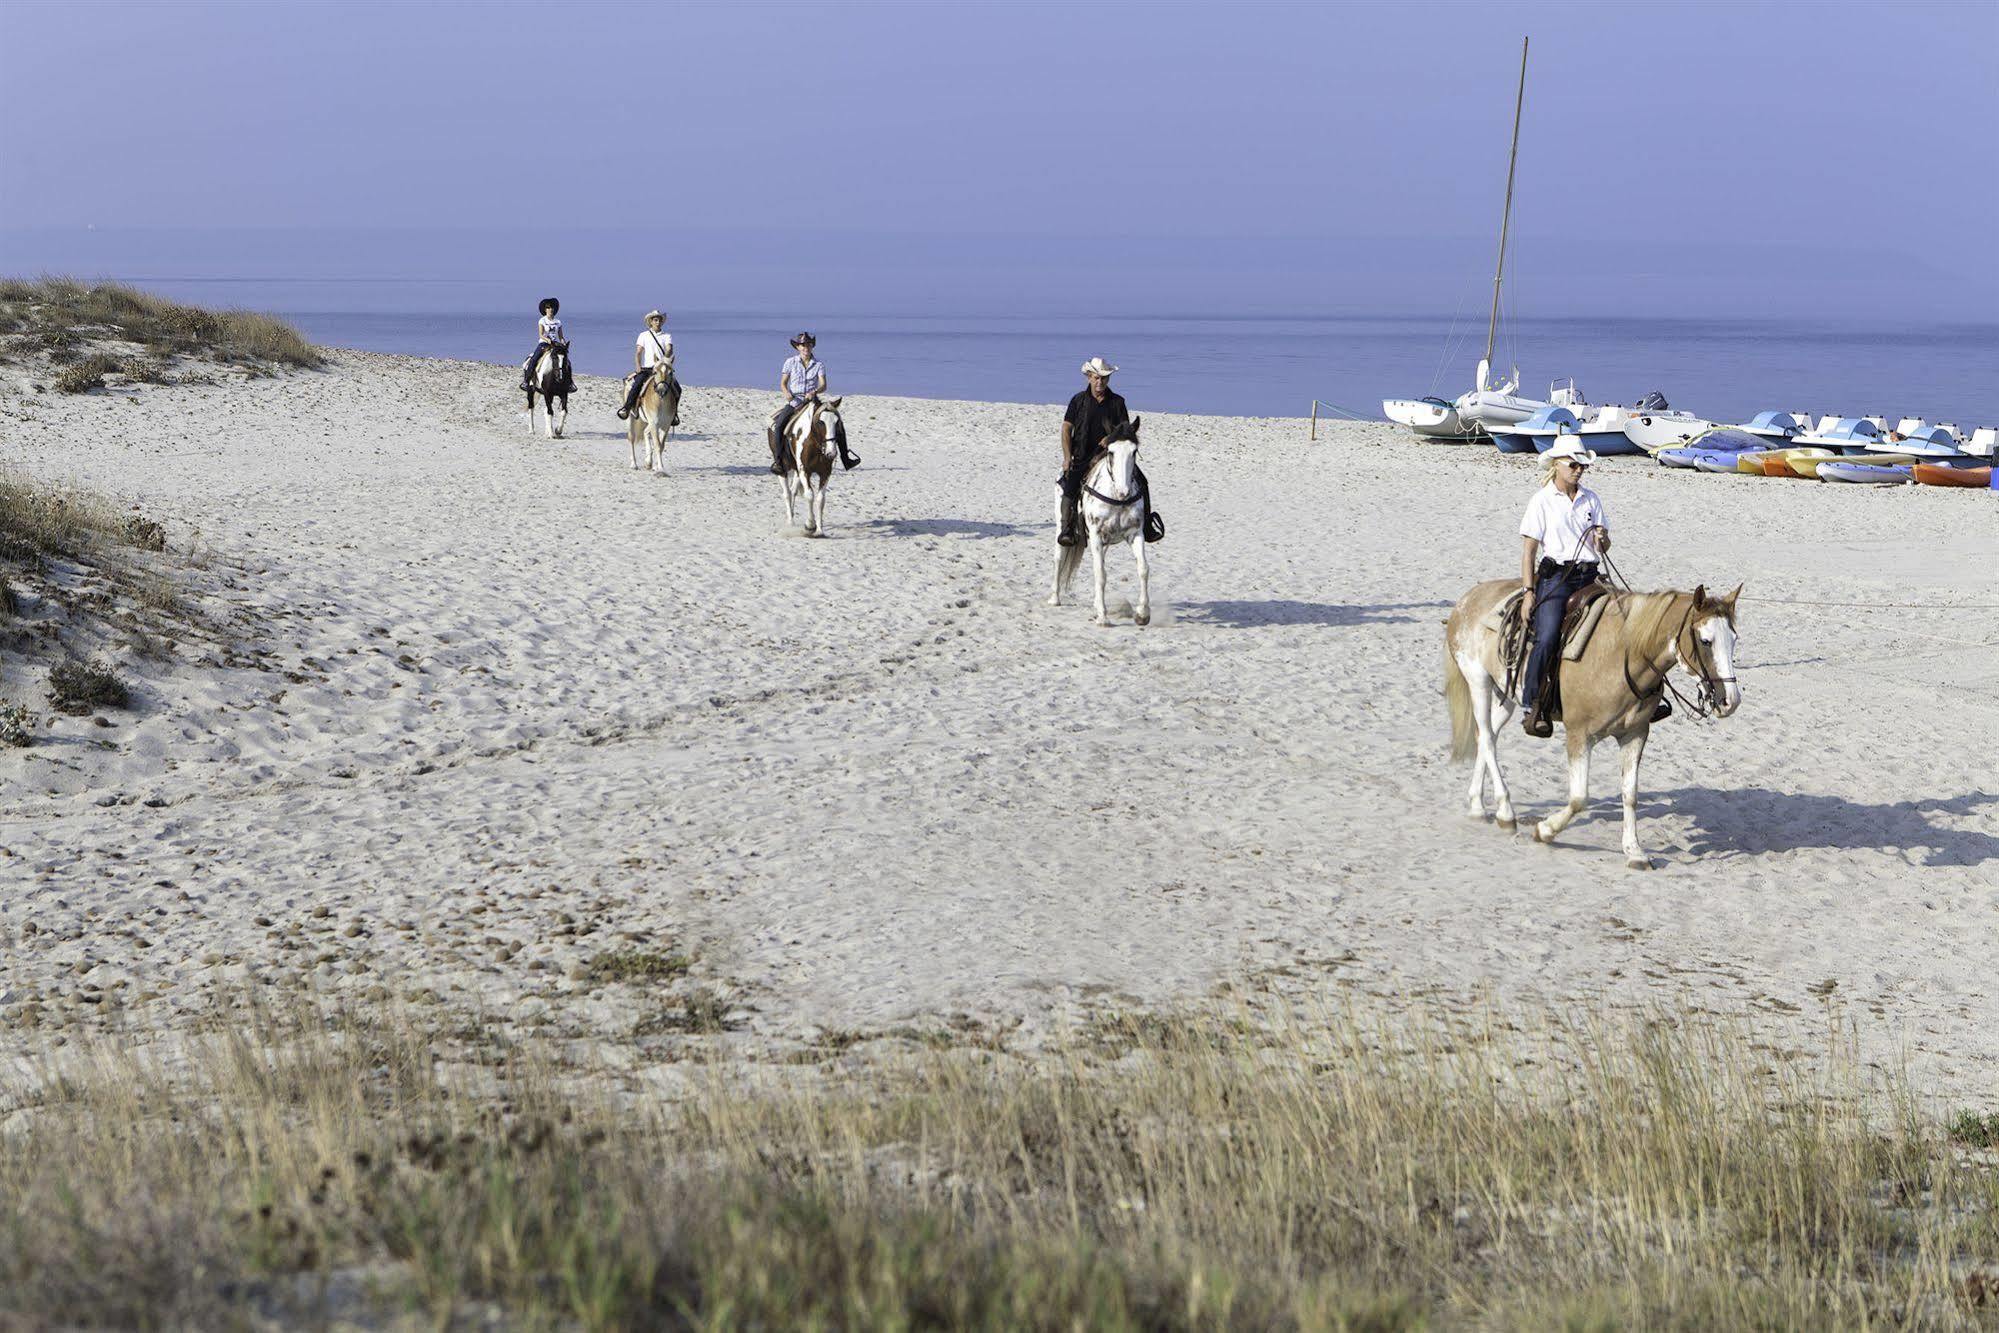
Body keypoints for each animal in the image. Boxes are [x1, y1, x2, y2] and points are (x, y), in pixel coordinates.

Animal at [1447, 579, 1743, 871]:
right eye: (1705, 641)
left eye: (1734, 639)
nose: (1730, 701)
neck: (1622, 655)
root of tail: (1469, 598)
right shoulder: (1579, 735)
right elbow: (1579, 798)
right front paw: (1545, 830)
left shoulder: (1635, 734)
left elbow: (1630, 794)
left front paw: (1634, 851)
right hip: (1478, 681)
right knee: (1486, 738)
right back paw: (1505, 812)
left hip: (1506, 694)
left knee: (1486, 736)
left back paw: (1477, 804)